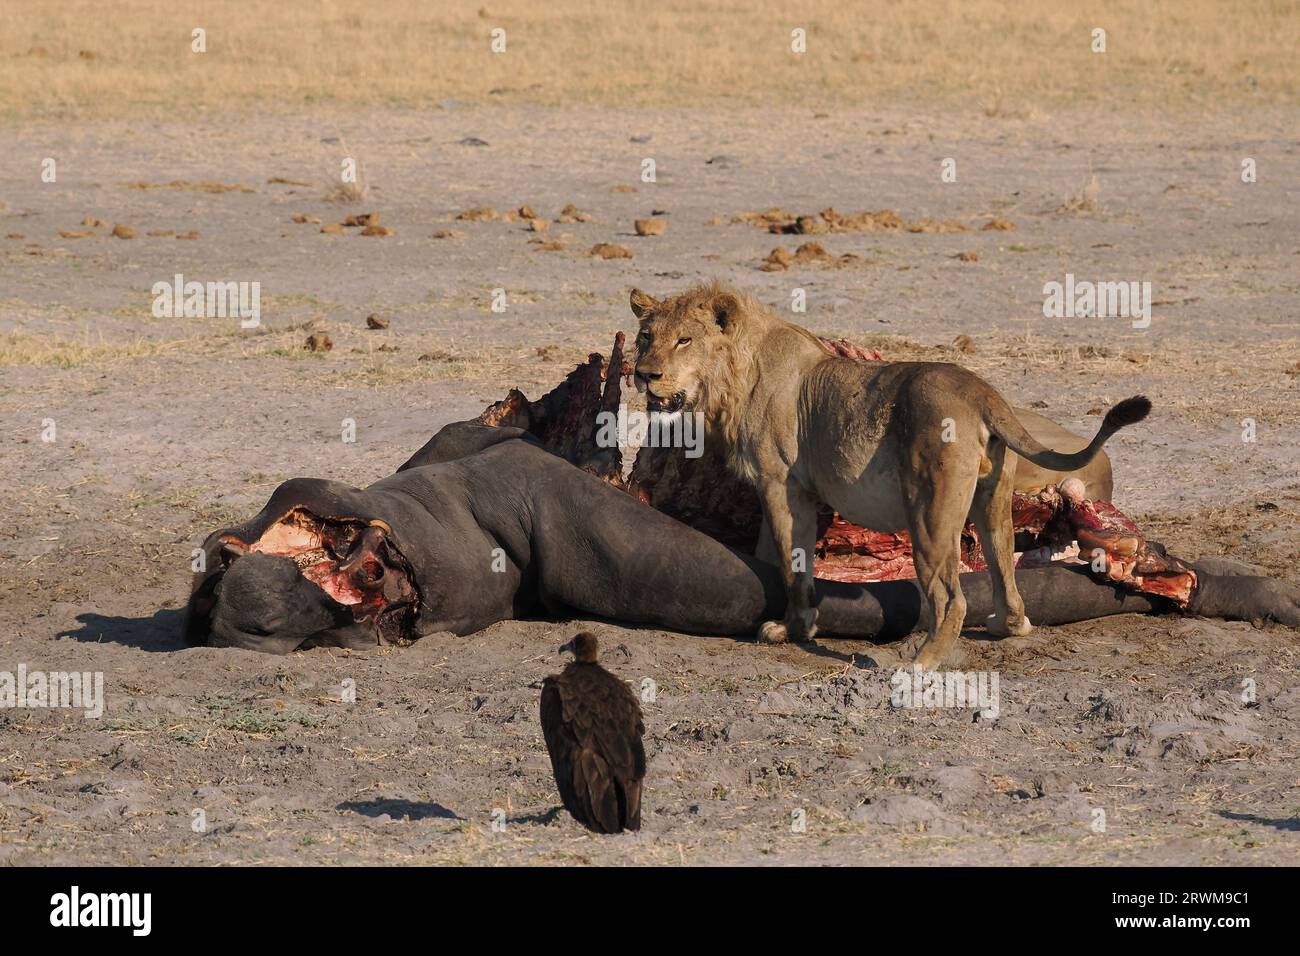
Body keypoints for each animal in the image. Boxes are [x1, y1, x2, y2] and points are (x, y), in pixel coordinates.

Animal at [629, 280, 1149, 671]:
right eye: (645, 338)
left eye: (684, 340)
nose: (644, 374)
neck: (735, 376)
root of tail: (981, 391)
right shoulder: (794, 491)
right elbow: (785, 560)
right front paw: (796, 625)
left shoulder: (782, 484)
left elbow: (790, 563)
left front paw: (789, 628)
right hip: (993, 500)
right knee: (1004, 569)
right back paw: (1008, 625)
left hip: (928, 510)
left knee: (950, 597)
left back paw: (921, 663)